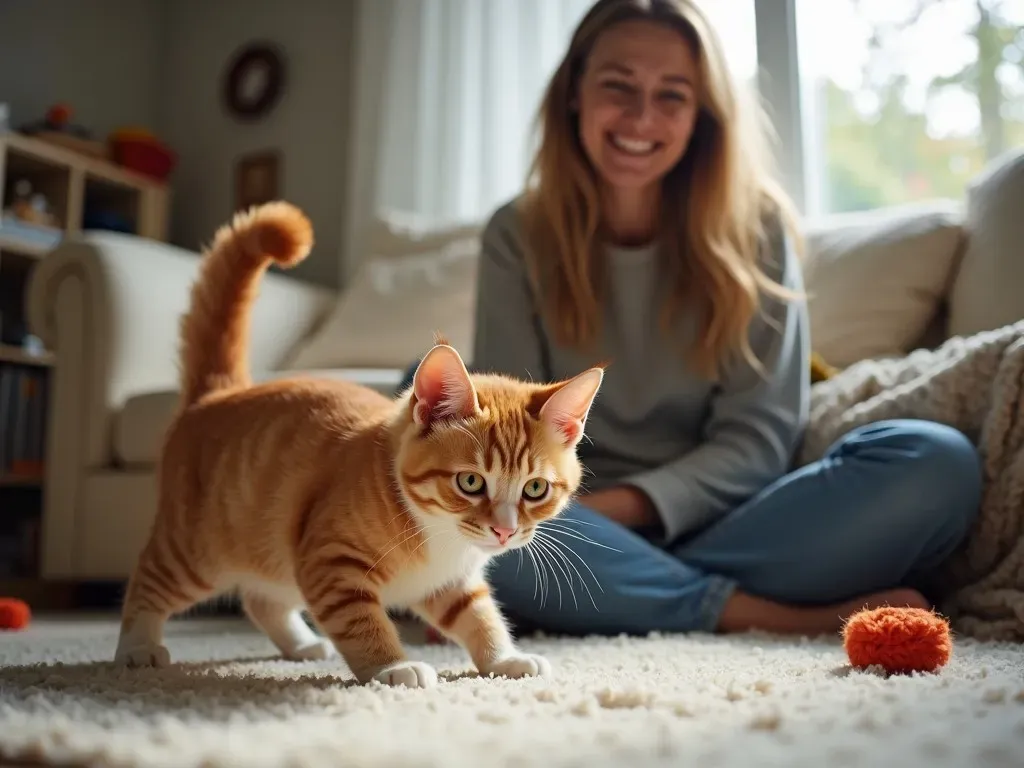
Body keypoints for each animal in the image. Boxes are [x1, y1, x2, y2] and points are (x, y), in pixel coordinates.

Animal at [115, 201, 602, 688]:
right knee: (149, 579)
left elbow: (480, 616)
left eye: (535, 489)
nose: (504, 530)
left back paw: (300, 644)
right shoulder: (330, 563)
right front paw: (393, 666)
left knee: (261, 598)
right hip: (198, 549)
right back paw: (138, 647)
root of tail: (218, 393)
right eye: (470, 482)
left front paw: (504, 659)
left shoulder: (452, 582)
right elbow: (363, 622)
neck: (438, 533)